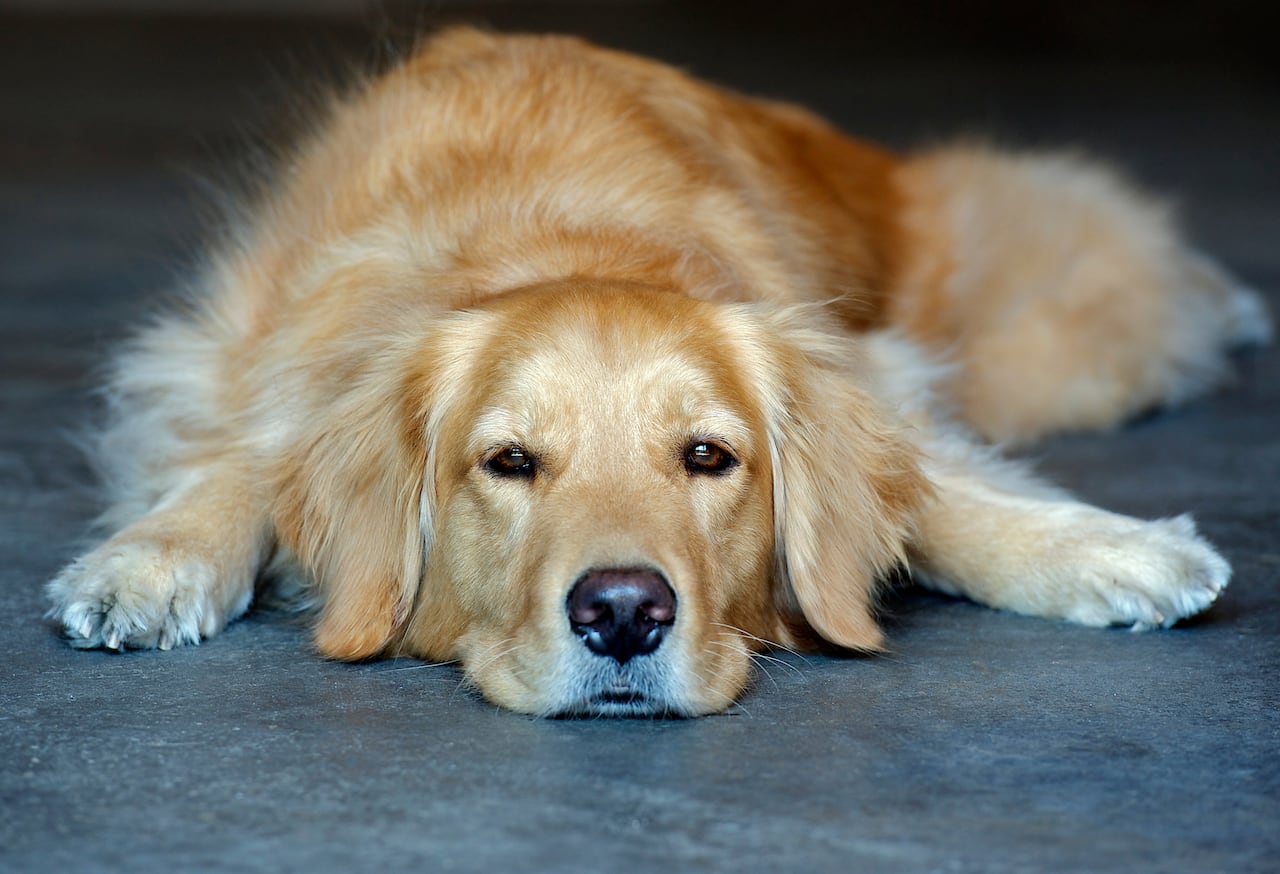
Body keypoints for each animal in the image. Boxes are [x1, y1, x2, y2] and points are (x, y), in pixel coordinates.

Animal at [45, 29, 1264, 716]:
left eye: (708, 456)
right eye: (509, 462)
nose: (624, 614)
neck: (557, 243)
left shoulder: (866, 366)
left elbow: (946, 497)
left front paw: (1116, 551)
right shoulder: (233, 357)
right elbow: (235, 461)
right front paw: (149, 564)